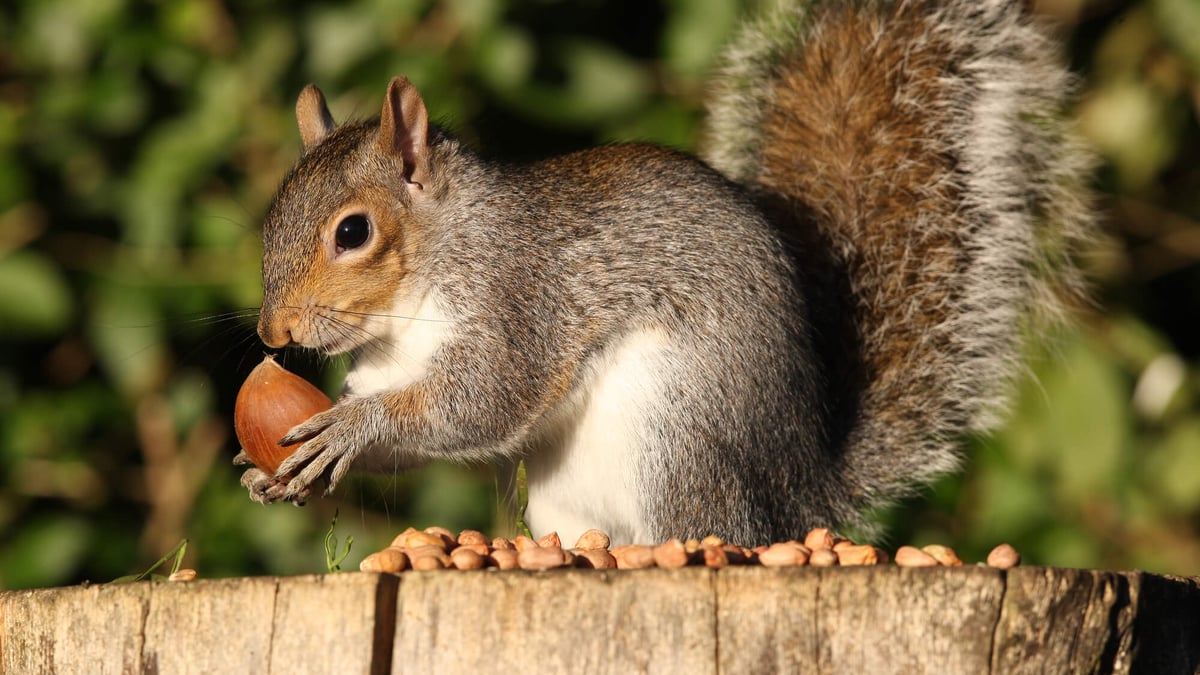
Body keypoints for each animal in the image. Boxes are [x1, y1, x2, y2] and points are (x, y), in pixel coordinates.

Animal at [237, 0, 1093, 547]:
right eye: (273, 212)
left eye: (353, 231)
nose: (272, 331)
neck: (410, 304)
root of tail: (800, 498)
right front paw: (278, 465)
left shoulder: (519, 298)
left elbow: (481, 402)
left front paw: (353, 428)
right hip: (566, 493)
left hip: (674, 436)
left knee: (702, 532)